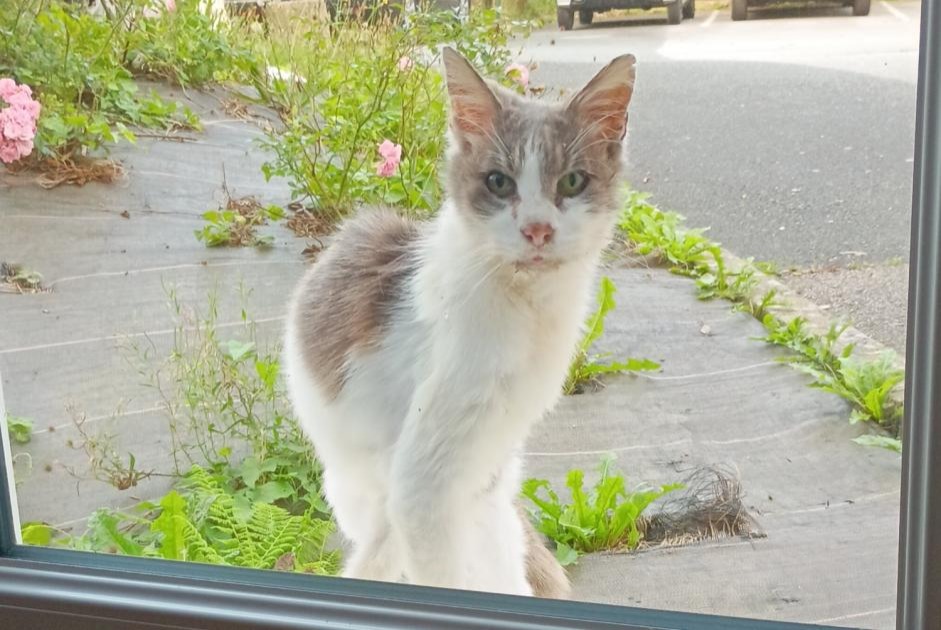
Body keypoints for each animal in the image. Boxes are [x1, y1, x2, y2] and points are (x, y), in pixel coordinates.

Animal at [282, 47, 636, 600]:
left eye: (573, 181)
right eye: (499, 182)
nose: (537, 230)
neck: (525, 309)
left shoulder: (483, 466)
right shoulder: (422, 484)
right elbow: (439, 573)